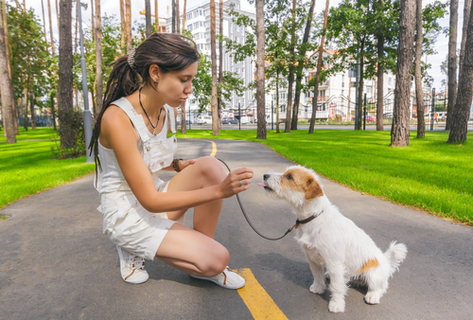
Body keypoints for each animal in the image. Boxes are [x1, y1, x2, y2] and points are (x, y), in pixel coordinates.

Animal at [256, 165, 408, 312]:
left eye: (289, 177)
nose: (265, 175)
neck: (314, 218)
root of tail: (387, 262)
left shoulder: (334, 262)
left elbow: (336, 287)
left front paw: (337, 304)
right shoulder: (312, 258)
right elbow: (317, 276)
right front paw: (318, 288)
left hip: (373, 275)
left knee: (380, 287)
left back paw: (372, 296)